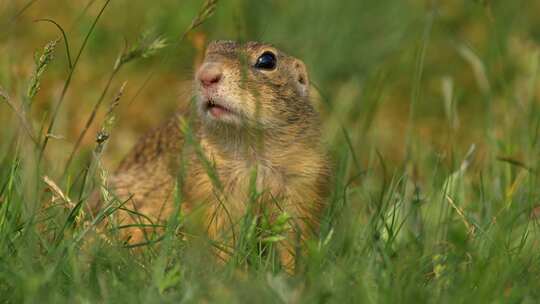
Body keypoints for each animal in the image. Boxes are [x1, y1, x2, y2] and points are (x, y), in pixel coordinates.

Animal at [97, 41, 334, 268]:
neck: (251, 150)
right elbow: (221, 233)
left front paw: (294, 273)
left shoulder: (304, 181)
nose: (206, 74)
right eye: (209, 51)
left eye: (267, 61)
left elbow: (294, 236)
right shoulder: (208, 184)